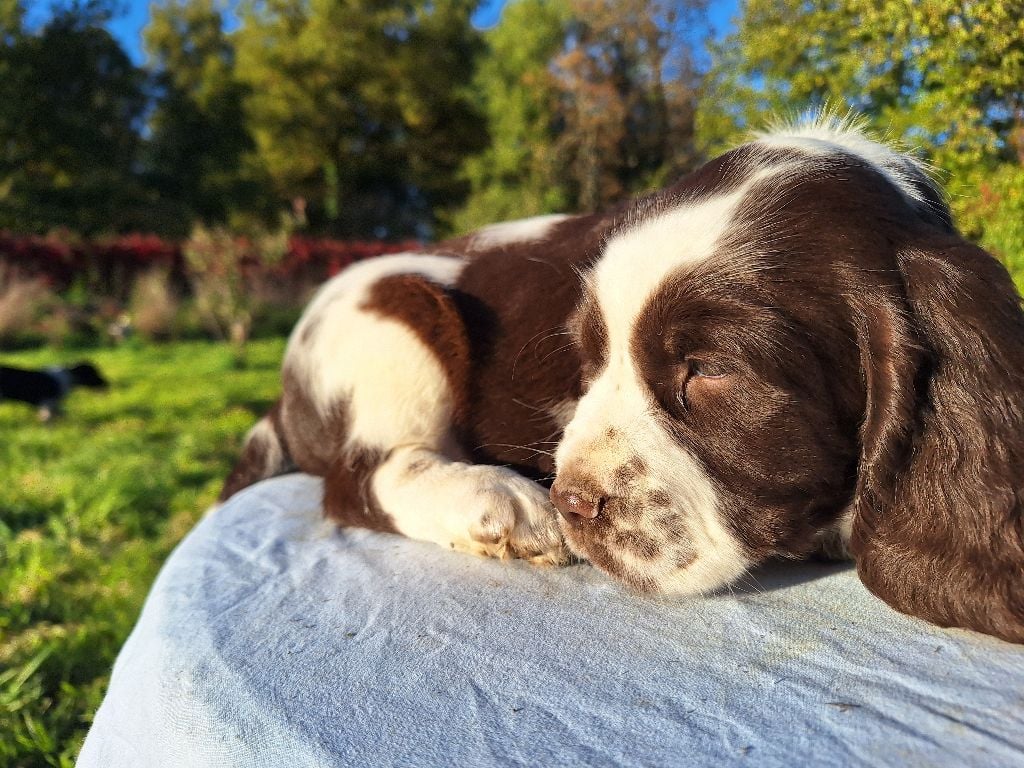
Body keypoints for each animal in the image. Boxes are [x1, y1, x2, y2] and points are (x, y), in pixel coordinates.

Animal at [221, 116, 1024, 644]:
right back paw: (500, 502)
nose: (573, 503)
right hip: (395, 316)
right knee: (359, 479)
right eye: (590, 353)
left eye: (712, 372)